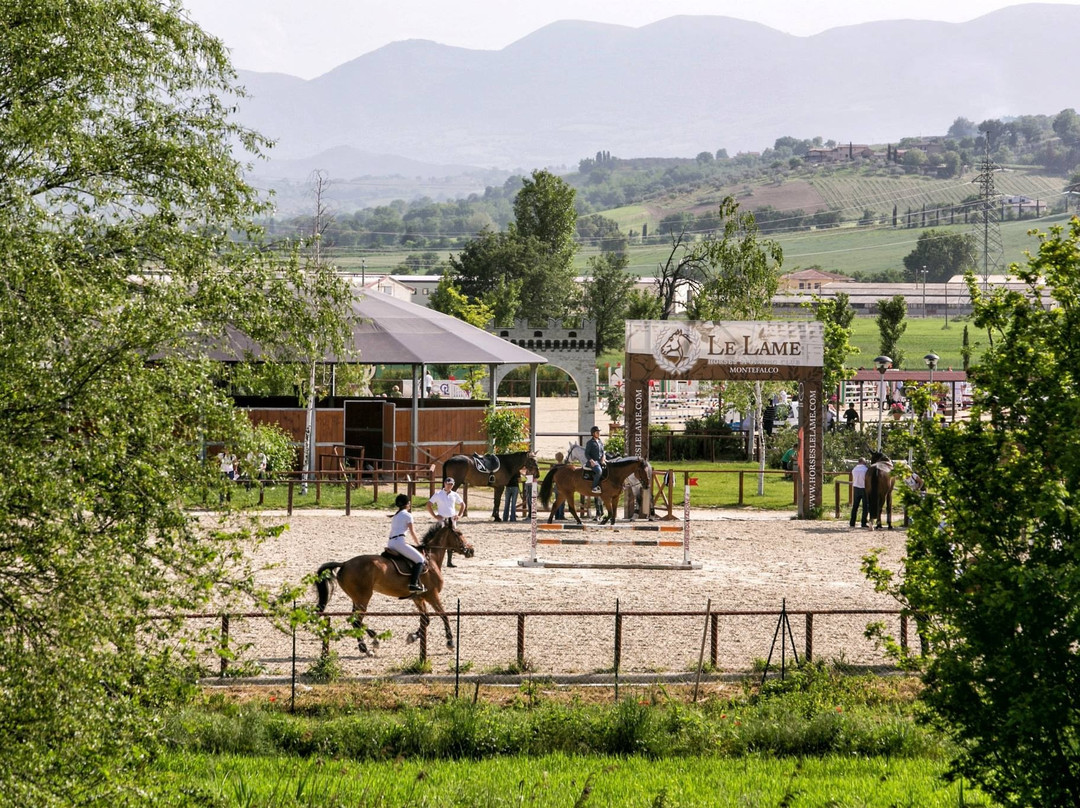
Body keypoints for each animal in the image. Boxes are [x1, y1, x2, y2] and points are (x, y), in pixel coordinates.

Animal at [315, 518, 477, 656]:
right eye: (459, 534)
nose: (471, 550)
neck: (431, 559)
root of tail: (344, 564)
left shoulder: (418, 598)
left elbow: (426, 620)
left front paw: (412, 637)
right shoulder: (432, 594)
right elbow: (444, 616)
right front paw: (450, 643)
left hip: (357, 598)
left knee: (354, 620)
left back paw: (371, 641)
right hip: (363, 597)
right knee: (356, 621)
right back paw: (368, 647)